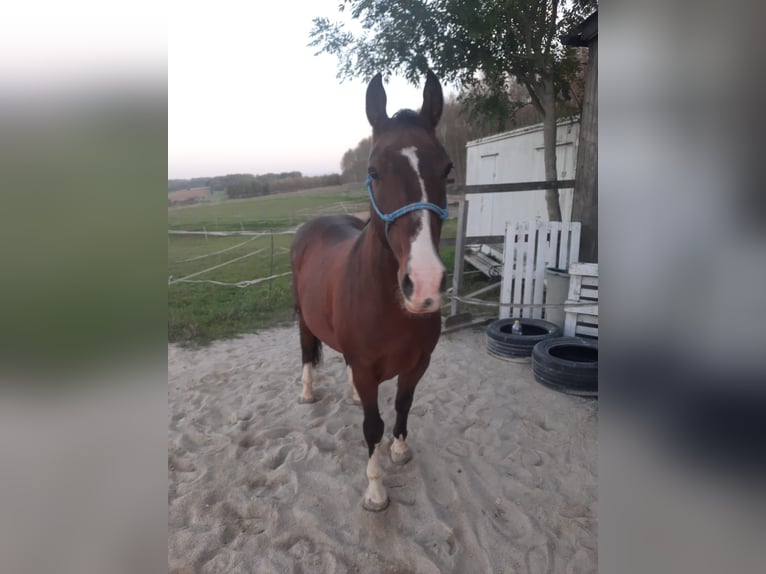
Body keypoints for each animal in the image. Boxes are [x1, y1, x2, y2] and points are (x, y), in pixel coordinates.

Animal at [292, 70, 452, 510]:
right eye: (374, 170)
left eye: (447, 168)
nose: (425, 283)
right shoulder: (366, 370)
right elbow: (371, 425)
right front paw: (376, 491)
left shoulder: (418, 364)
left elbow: (402, 404)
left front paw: (399, 450)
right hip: (303, 318)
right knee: (307, 350)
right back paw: (307, 393)